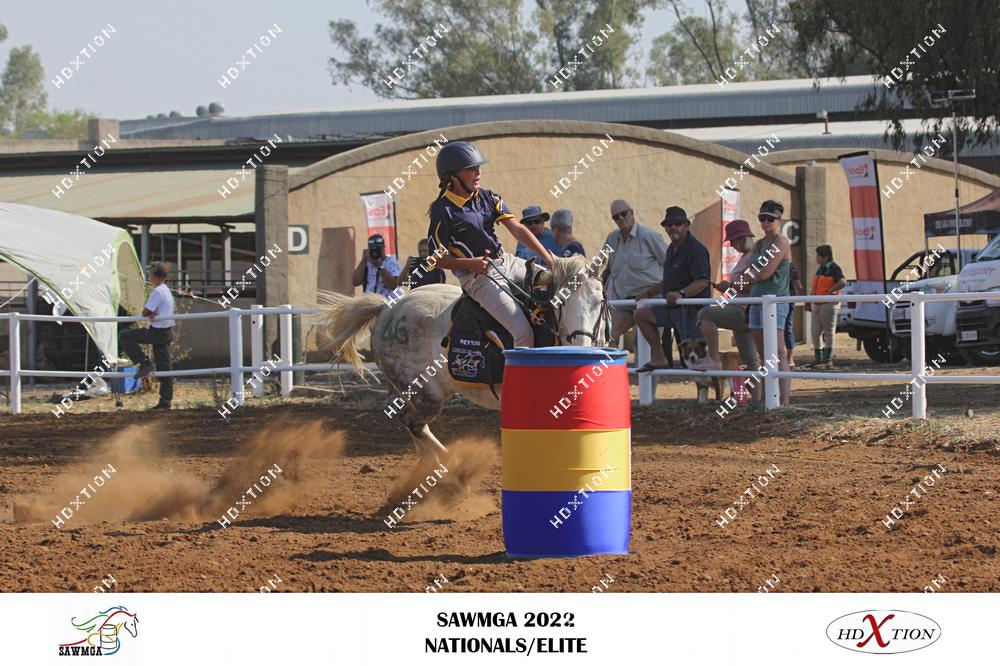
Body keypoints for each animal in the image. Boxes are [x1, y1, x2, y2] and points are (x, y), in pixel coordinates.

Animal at [321, 254, 609, 460]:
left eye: (600, 300)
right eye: (561, 302)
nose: (583, 347)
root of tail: (385, 309)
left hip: (405, 390)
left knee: (406, 421)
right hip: (426, 394)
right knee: (415, 424)